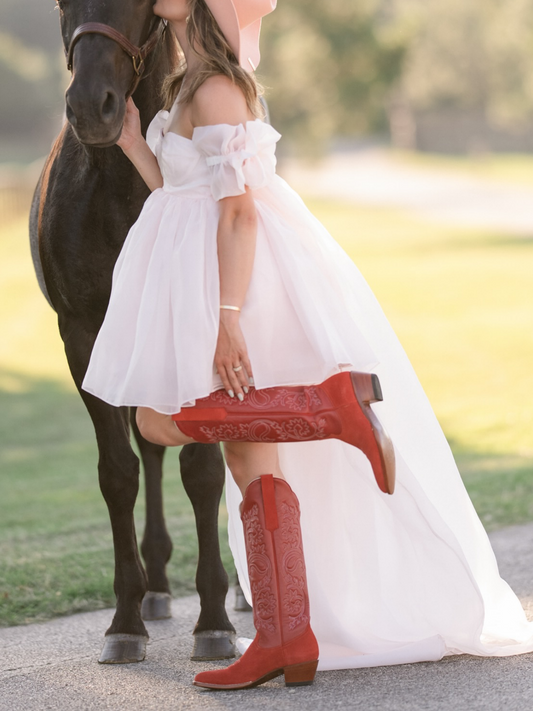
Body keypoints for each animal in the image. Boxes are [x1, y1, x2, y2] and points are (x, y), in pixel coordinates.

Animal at [29, 0, 237, 668]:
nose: (92, 107)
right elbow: (118, 472)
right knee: (149, 445)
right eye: (59, 3)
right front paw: (125, 620)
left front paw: (215, 619)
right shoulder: (83, 335)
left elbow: (203, 469)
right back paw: (157, 584)